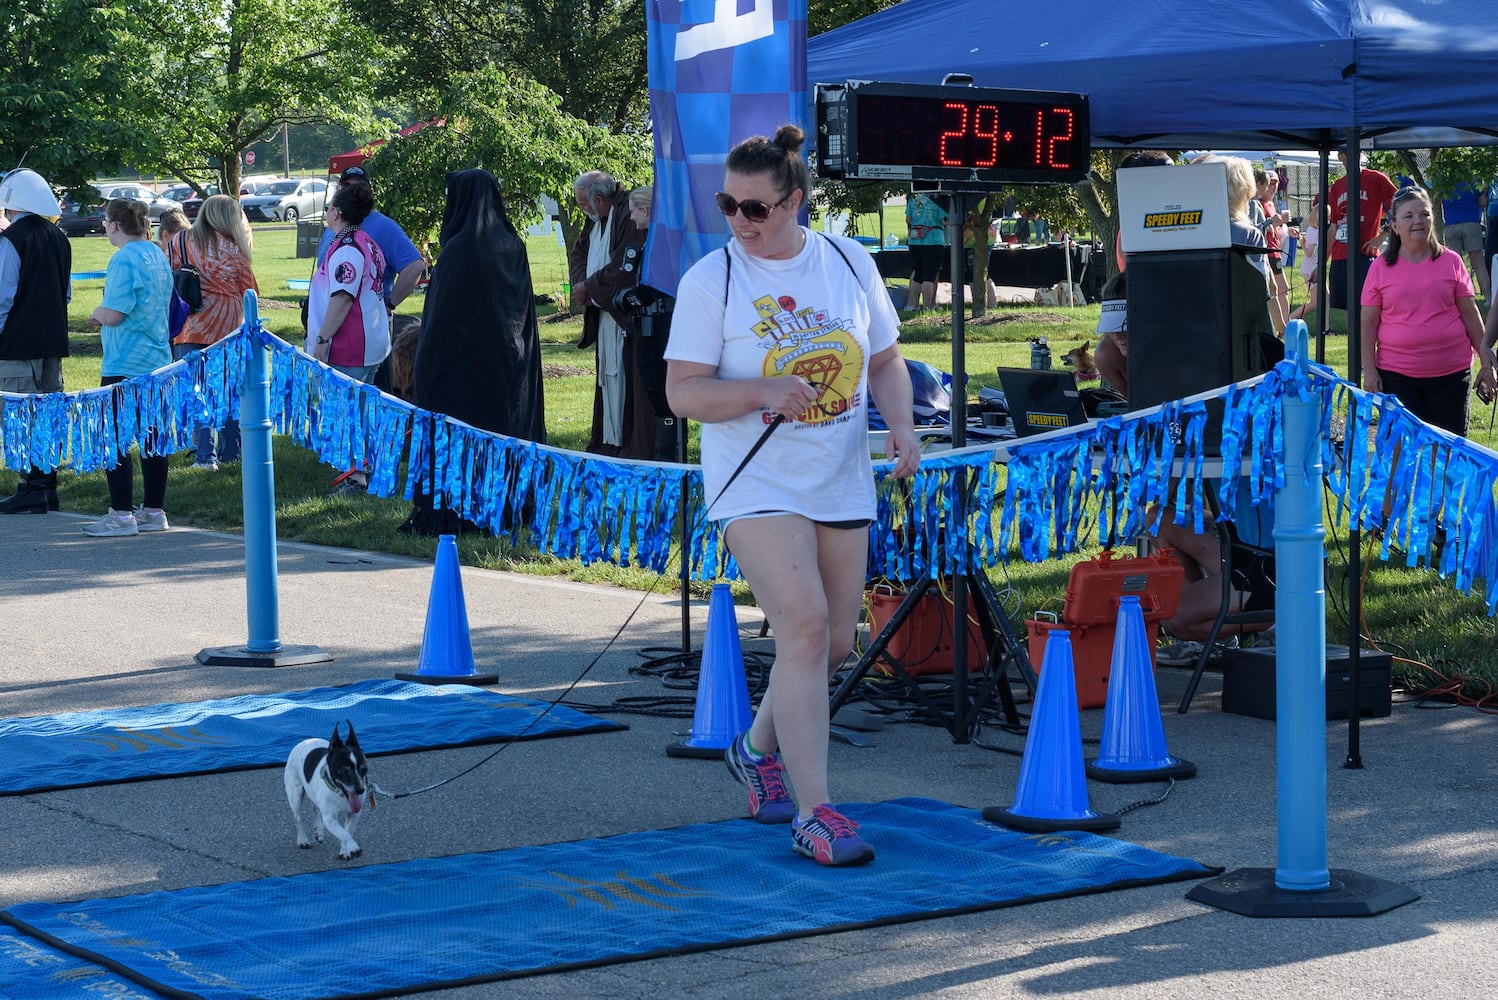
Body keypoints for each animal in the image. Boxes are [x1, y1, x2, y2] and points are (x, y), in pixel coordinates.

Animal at [283, 718, 371, 862]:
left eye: (364, 769)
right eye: (345, 771)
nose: (360, 790)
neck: (341, 793)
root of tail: (305, 741)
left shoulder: (354, 814)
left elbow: (347, 831)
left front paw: (345, 851)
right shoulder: (329, 818)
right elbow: (344, 834)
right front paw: (353, 848)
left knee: (315, 808)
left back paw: (319, 831)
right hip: (295, 795)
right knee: (298, 817)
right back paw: (302, 840)